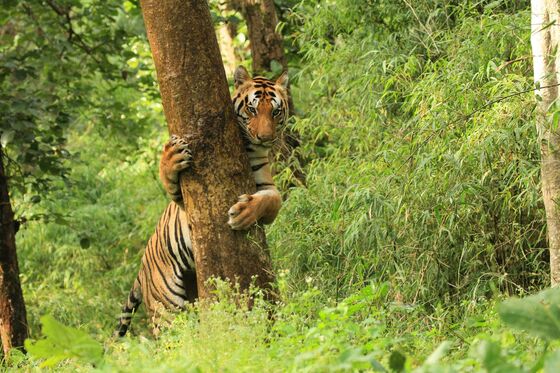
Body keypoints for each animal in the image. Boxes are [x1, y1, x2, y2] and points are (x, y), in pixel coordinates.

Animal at [114, 65, 288, 336]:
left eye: (276, 111)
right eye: (252, 109)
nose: (265, 137)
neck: (249, 149)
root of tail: (141, 271)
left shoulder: (267, 187)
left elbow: (271, 199)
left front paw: (243, 214)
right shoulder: (184, 201)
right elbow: (169, 179)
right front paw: (172, 156)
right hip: (166, 308)